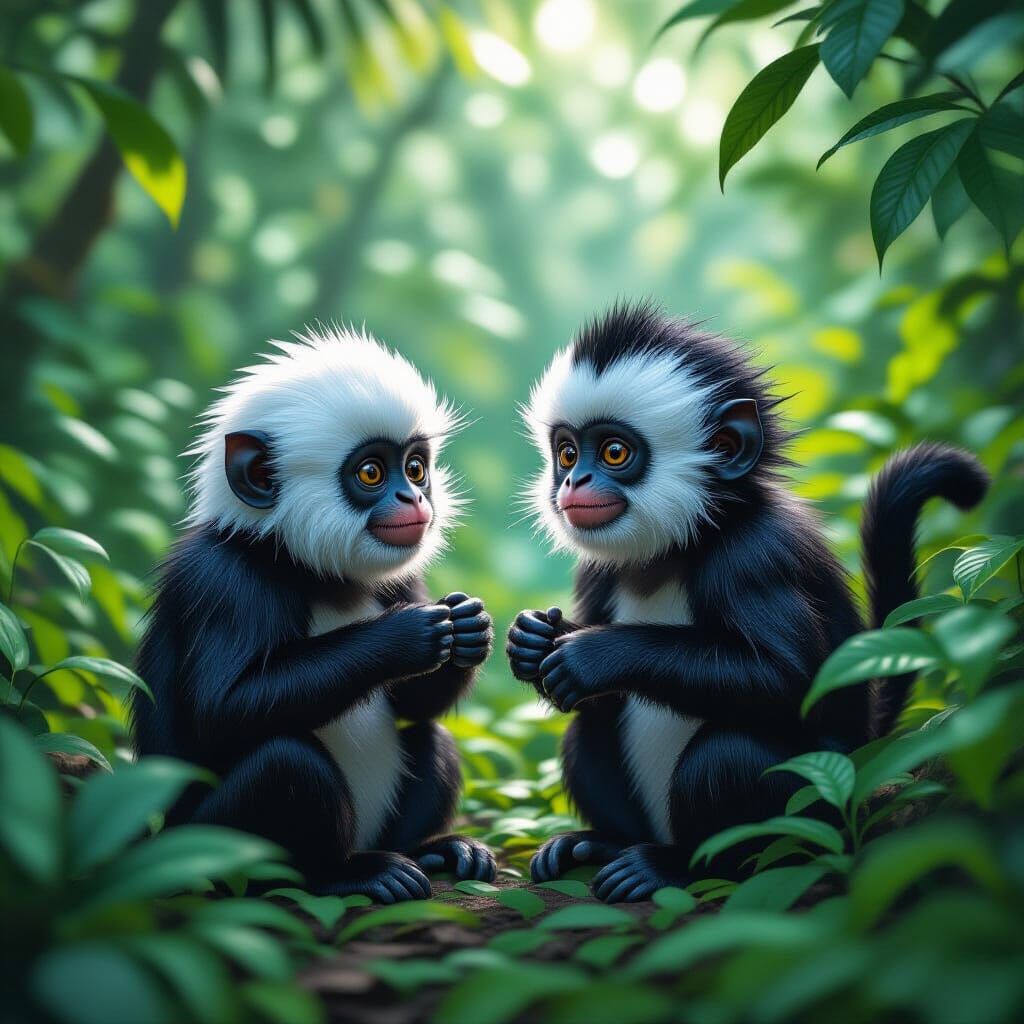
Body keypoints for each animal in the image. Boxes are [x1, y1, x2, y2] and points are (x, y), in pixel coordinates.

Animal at [133, 325, 495, 902]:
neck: (314, 573)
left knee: (429, 736)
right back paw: (347, 874)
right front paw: (402, 637)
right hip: (200, 846)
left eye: (416, 468)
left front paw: (467, 628)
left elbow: (415, 704)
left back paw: (433, 850)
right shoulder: (223, 579)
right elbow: (222, 708)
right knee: (286, 760)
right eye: (371, 472)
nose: (415, 499)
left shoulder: (400, 578)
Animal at [508, 301, 988, 902]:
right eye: (567, 452)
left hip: (818, 807)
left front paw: (593, 656)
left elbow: (787, 678)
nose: (573, 481)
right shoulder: (598, 570)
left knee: (728, 753)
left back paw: (676, 867)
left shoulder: (755, 553)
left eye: (614, 452)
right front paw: (535, 641)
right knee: (588, 729)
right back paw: (603, 844)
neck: (679, 549)